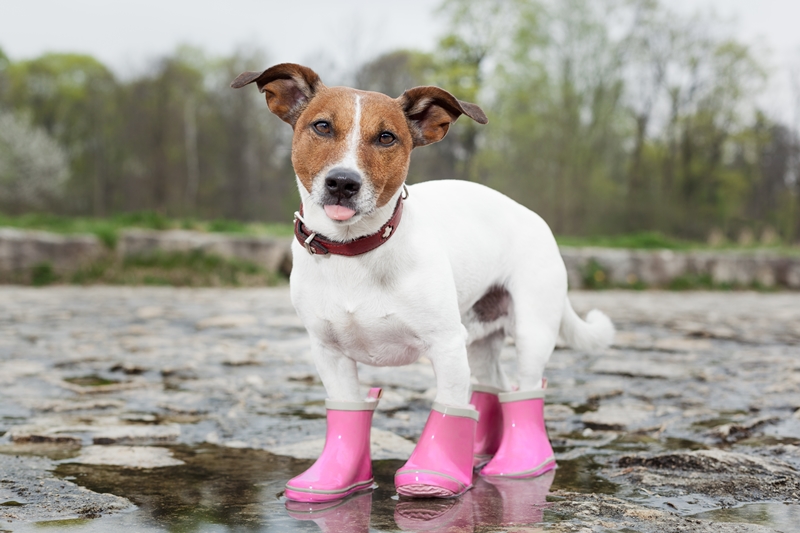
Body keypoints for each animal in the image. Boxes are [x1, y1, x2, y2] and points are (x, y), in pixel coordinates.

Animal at [230, 64, 612, 500]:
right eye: (322, 126)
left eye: (386, 137)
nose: (342, 182)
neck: (355, 251)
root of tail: (533, 217)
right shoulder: (329, 352)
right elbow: (347, 411)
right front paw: (337, 480)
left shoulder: (445, 345)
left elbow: (450, 407)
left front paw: (436, 473)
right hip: (479, 338)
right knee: (491, 387)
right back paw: (480, 451)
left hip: (532, 331)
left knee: (524, 391)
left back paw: (521, 463)